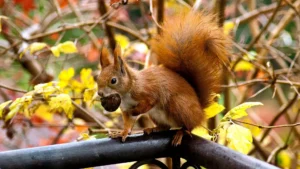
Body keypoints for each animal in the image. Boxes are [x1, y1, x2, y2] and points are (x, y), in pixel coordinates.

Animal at [97, 11, 229, 145]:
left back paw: (181, 132)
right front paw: (122, 133)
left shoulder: (147, 92)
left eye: (113, 80)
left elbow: (149, 103)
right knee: (166, 127)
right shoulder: (125, 107)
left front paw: (136, 111)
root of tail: (200, 112)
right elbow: (128, 123)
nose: (100, 93)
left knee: (189, 126)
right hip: (156, 115)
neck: (127, 92)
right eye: (98, 79)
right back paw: (154, 128)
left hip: (179, 105)